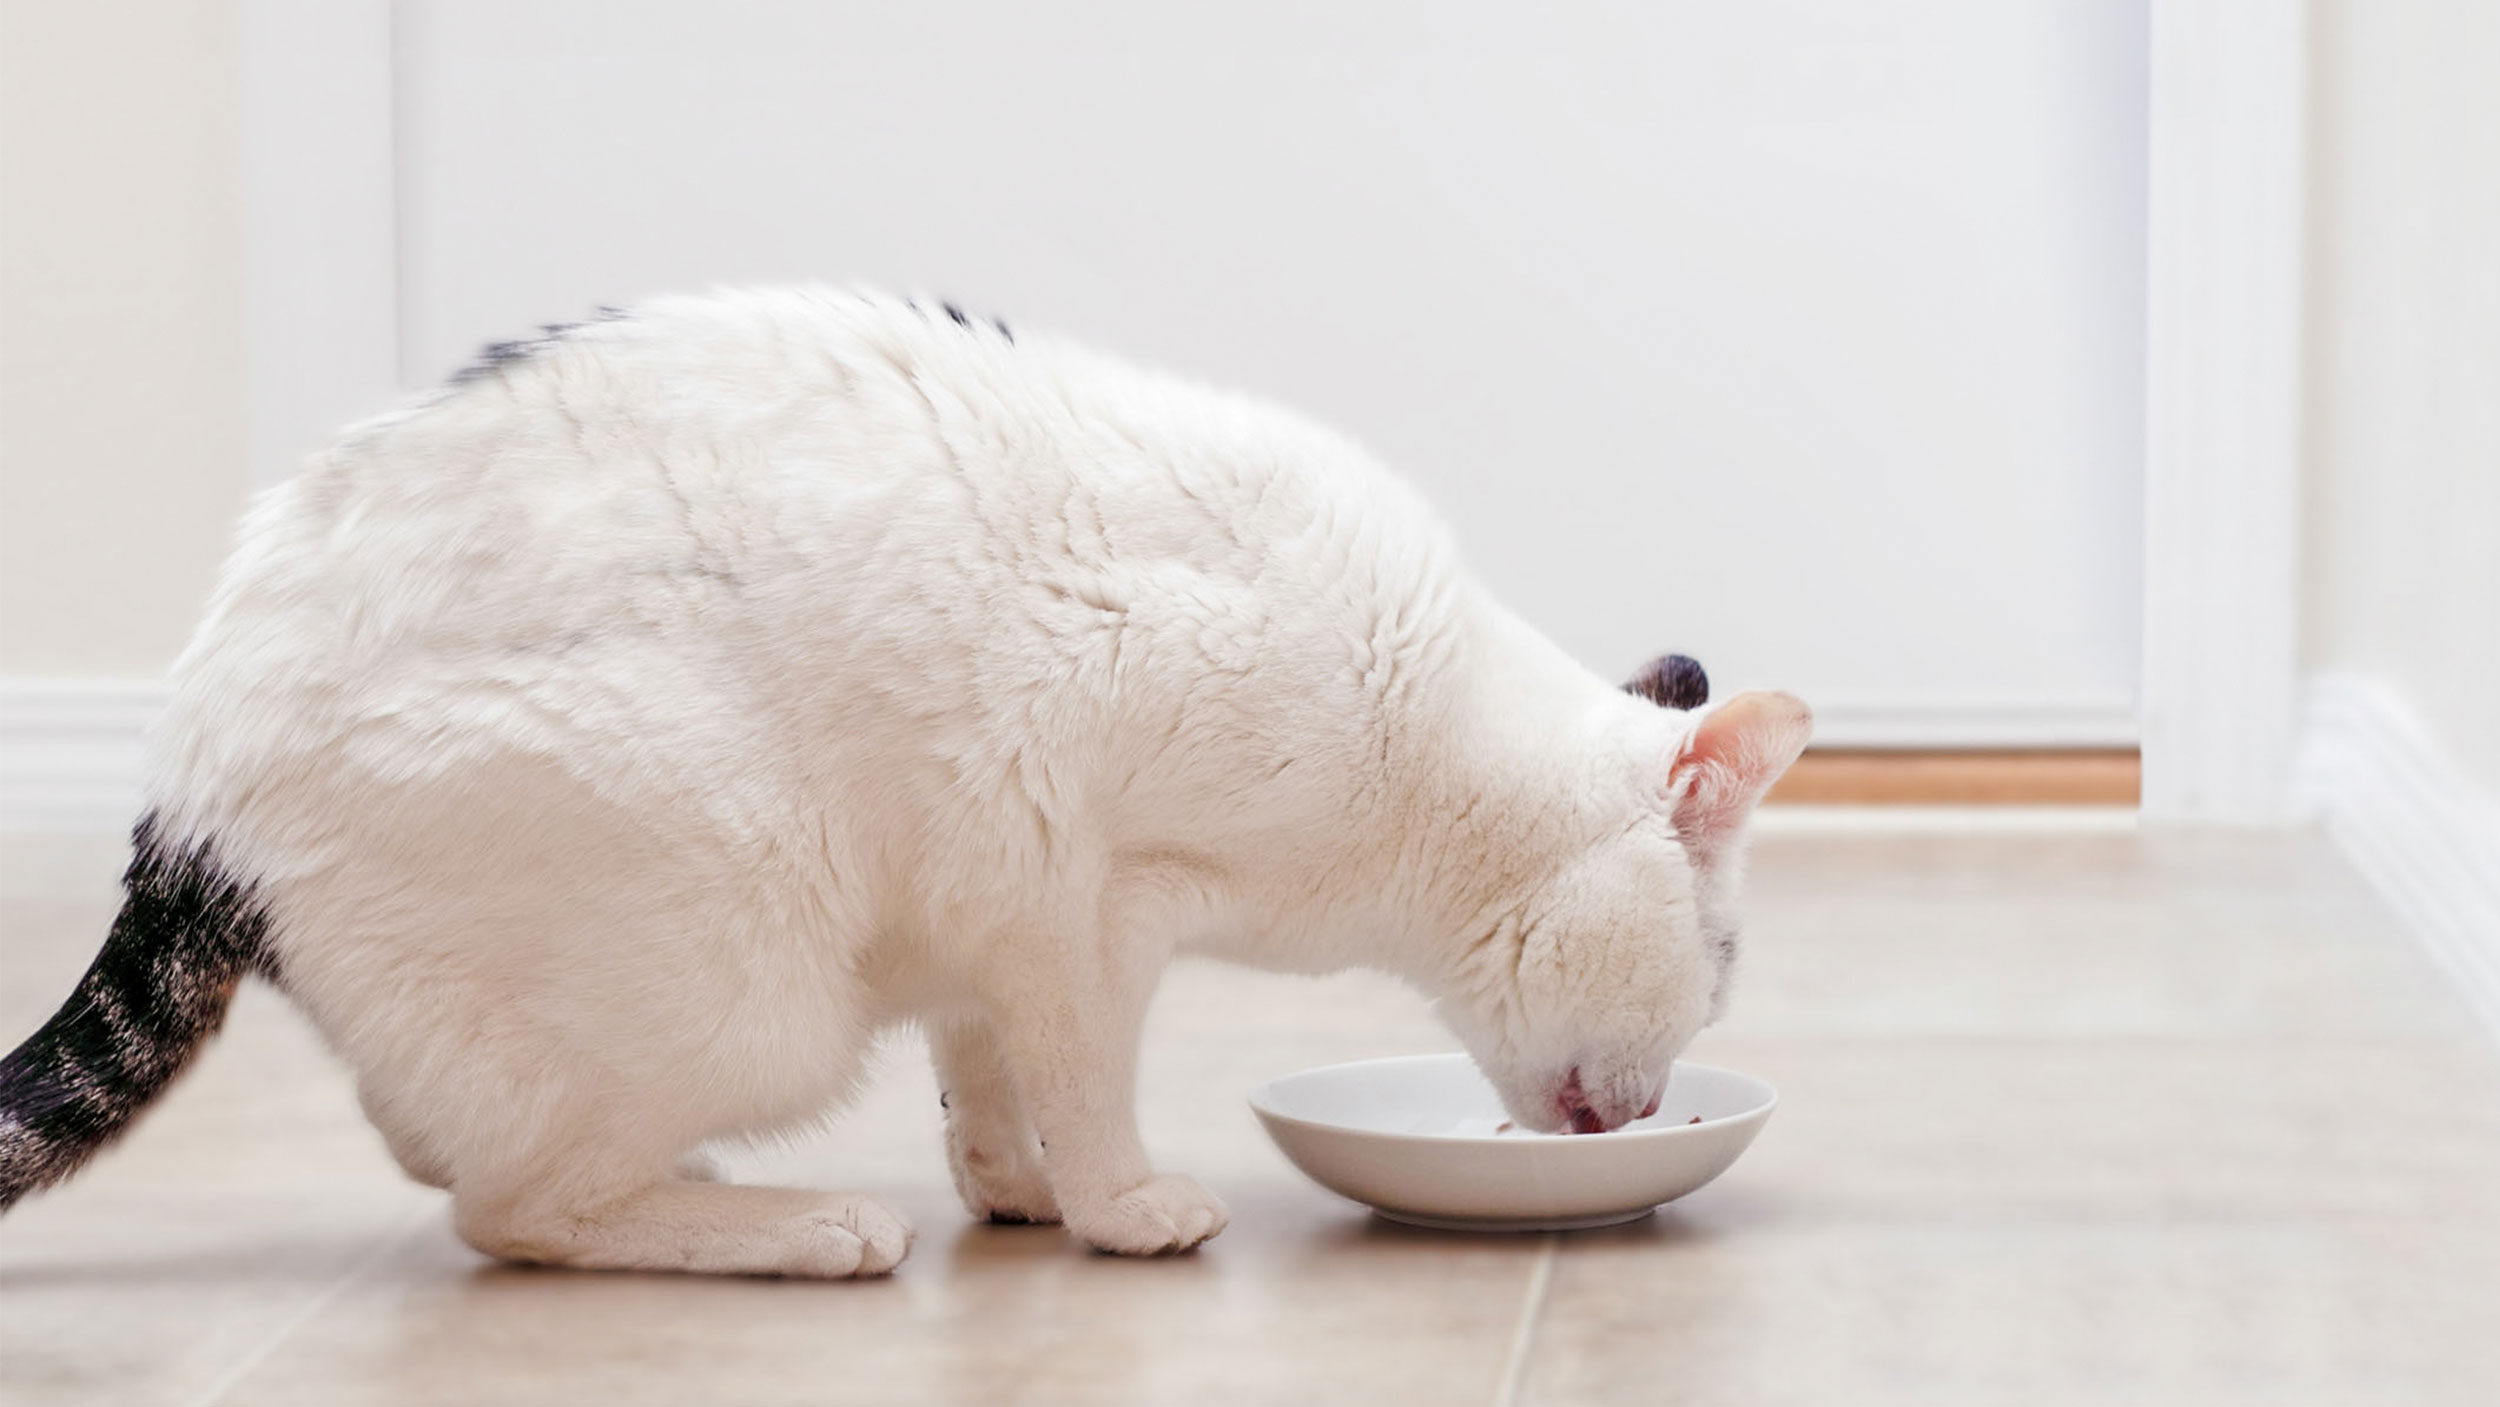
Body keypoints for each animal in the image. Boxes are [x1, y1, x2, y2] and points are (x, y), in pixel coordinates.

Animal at [0, 286, 1800, 1279]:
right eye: (1721, 969)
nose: (1661, 1093)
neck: (1427, 760)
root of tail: (182, 791)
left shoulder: (985, 897)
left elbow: (981, 1062)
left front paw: (1015, 1191)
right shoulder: (1083, 891)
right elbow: (1081, 1068)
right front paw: (1121, 1205)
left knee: (452, 1136)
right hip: (754, 964)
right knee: (507, 1211)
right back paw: (797, 1227)